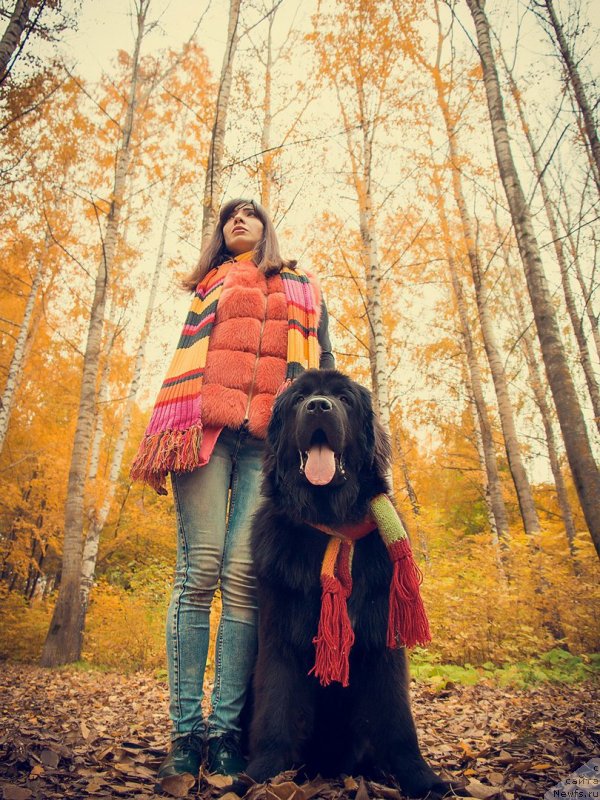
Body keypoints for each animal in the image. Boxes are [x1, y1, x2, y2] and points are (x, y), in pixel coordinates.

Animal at [241, 372, 448, 796]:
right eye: (299, 398)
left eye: (343, 398)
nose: (319, 406)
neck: (331, 523)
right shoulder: (279, 634)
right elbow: (275, 706)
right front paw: (261, 774)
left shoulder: (383, 636)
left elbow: (397, 718)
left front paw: (422, 778)